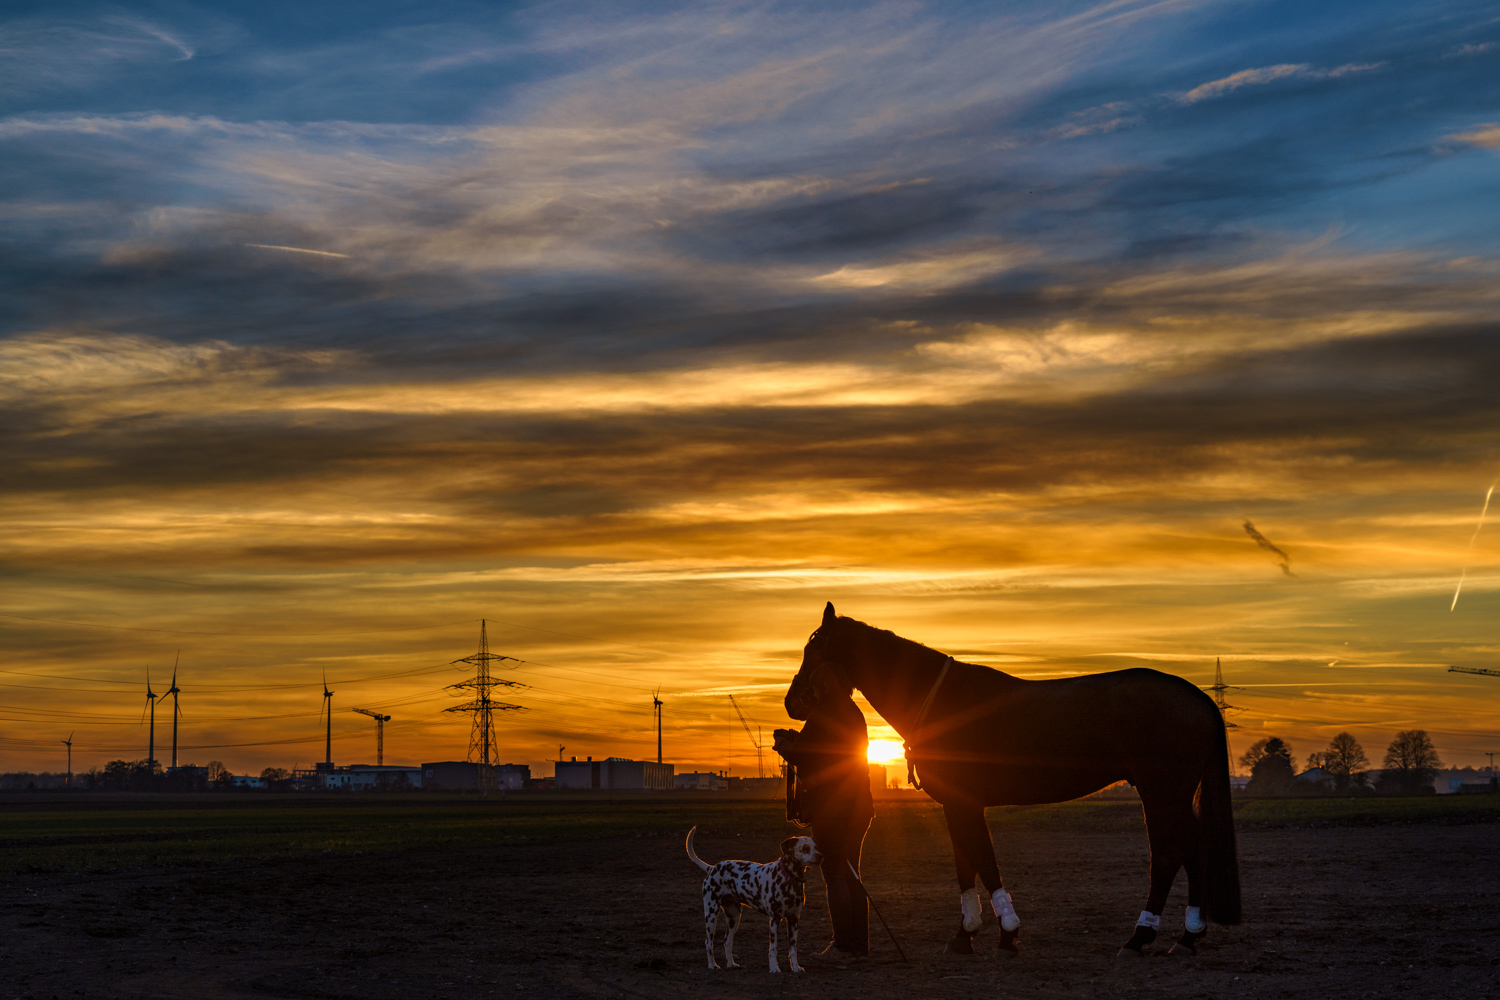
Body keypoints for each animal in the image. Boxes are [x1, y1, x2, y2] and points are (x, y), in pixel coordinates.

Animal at [684, 827, 822, 977]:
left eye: (816, 847)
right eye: (805, 848)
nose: (820, 856)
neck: (789, 879)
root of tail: (712, 868)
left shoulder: (794, 920)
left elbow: (793, 949)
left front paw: (795, 967)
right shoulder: (774, 919)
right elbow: (773, 948)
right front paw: (774, 968)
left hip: (734, 917)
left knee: (727, 941)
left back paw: (731, 964)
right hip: (711, 913)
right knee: (708, 942)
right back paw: (712, 965)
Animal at [786, 605, 1242, 959]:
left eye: (814, 648)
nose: (792, 702)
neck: (942, 701)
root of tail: (1197, 696)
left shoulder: (966, 802)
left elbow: (984, 862)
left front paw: (1006, 931)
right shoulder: (955, 804)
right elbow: (965, 864)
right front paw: (966, 935)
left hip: (1162, 793)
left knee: (1169, 854)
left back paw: (1141, 936)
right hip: (1170, 796)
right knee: (1189, 850)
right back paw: (1186, 936)